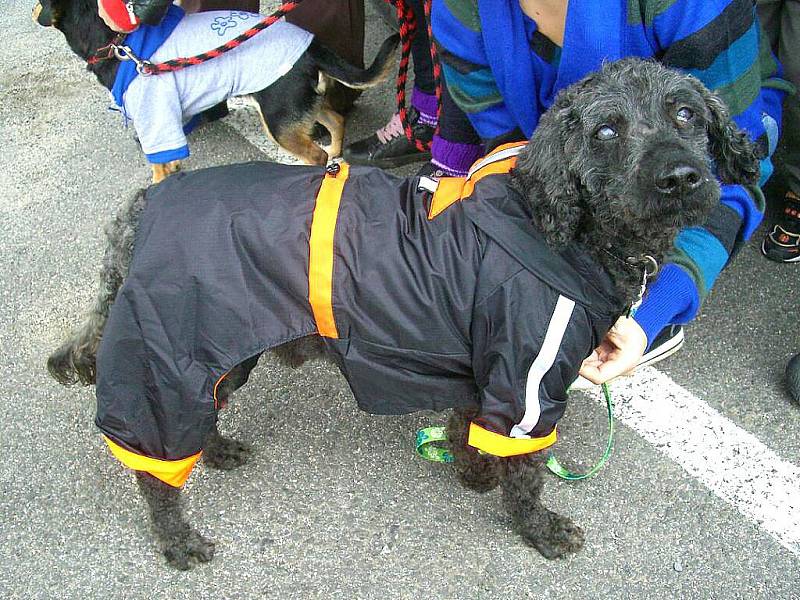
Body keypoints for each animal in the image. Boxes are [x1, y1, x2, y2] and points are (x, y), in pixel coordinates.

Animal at [32, 0, 400, 183]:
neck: (119, 43)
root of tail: (311, 46)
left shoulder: (156, 123)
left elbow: (159, 169)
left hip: (279, 118)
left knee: (317, 155)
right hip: (295, 103)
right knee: (336, 120)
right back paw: (336, 152)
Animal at [47, 58, 760, 568]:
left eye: (686, 113)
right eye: (607, 130)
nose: (681, 176)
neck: (557, 225)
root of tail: (139, 210)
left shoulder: (485, 365)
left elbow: (472, 426)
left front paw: (473, 473)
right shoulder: (526, 382)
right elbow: (526, 472)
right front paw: (537, 528)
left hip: (216, 353)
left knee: (203, 416)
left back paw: (218, 450)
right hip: (166, 356)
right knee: (155, 468)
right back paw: (176, 539)